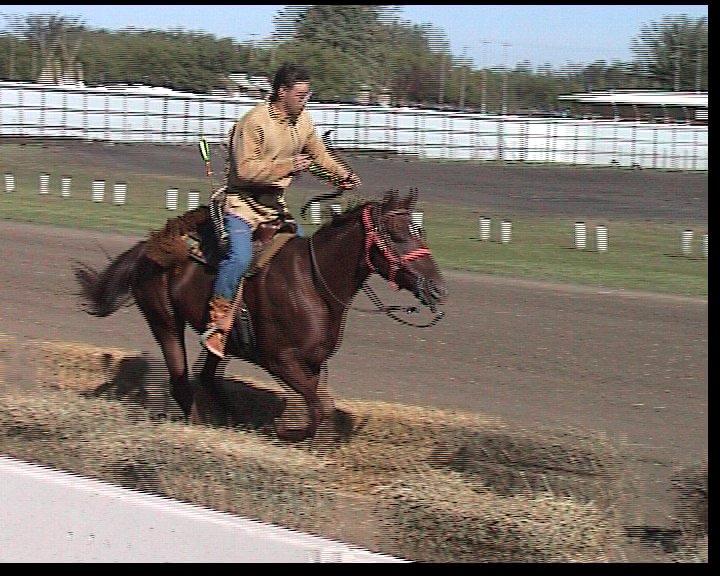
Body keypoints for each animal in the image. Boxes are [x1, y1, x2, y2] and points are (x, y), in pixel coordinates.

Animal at [71, 189, 444, 440]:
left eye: (420, 231)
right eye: (397, 235)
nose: (438, 287)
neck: (313, 282)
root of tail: (146, 248)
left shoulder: (314, 363)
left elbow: (321, 405)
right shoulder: (279, 360)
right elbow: (319, 407)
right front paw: (284, 431)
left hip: (217, 343)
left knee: (206, 378)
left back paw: (229, 419)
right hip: (164, 322)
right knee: (181, 382)